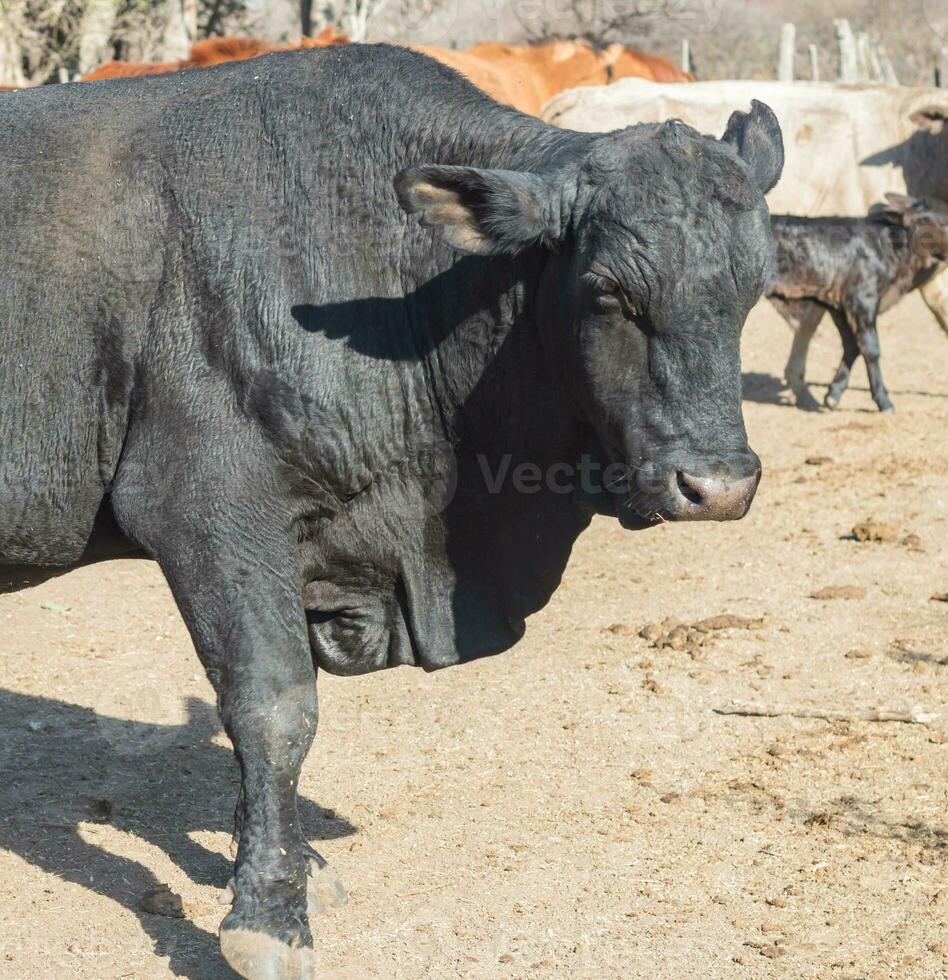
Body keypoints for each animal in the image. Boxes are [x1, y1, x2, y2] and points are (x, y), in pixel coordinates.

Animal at [0, 44, 780, 980]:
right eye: (607, 290)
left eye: (758, 285)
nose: (719, 485)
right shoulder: (204, 505)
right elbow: (274, 706)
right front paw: (269, 915)